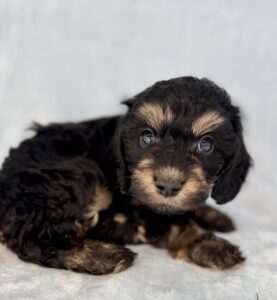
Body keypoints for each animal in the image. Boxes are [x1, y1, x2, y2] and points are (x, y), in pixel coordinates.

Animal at [0, 77, 250, 274]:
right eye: (147, 137)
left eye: (206, 145)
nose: (168, 185)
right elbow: (177, 224)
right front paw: (213, 247)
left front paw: (215, 217)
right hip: (77, 176)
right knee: (35, 241)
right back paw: (108, 256)